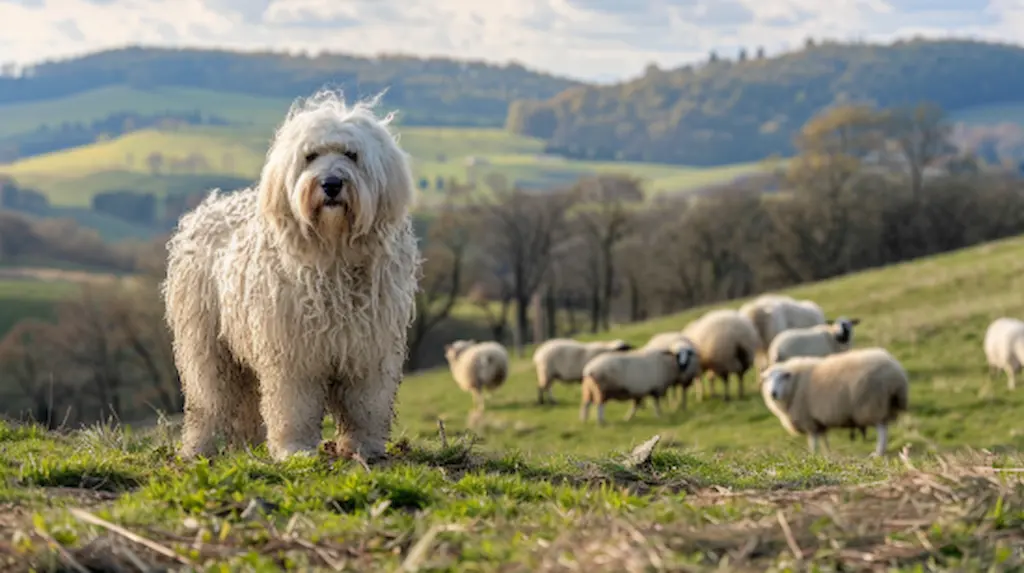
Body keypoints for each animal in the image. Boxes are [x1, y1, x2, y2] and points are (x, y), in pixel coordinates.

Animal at [163, 90, 419, 466]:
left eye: (351, 154)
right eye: (310, 156)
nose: (331, 184)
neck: (334, 253)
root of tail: (208, 208)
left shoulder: (368, 349)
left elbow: (365, 405)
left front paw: (365, 447)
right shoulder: (292, 352)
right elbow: (294, 406)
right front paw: (295, 449)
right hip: (206, 344)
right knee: (208, 401)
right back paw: (199, 448)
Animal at [761, 343, 913, 456]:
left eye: (782, 377)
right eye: (767, 379)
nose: (773, 393)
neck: (795, 384)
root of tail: (896, 372)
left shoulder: (809, 421)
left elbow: (813, 442)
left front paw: (813, 455)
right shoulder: (818, 422)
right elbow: (824, 440)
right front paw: (827, 455)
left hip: (873, 404)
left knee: (882, 431)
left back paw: (878, 453)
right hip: (885, 404)